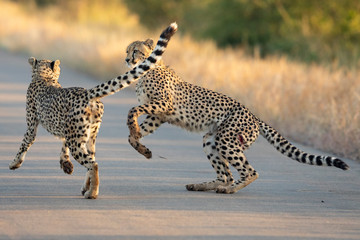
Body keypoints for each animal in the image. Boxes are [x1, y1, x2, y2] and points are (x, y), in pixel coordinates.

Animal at [8, 22, 177, 199]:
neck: (44, 77)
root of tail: (87, 93)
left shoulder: (34, 125)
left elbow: (25, 142)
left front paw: (14, 163)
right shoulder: (68, 131)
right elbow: (63, 145)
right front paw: (66, 164)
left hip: (78, 140)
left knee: (93, 164)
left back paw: (92, 193)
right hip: (89, 136)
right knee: (92, 160)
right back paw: (87, 187)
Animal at [124, 38, 348, 194]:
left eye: (136, 50)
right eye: (127, 50)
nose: (126, 59)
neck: (144, 71)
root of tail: (254, 116)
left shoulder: (164, 104)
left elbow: (132, 111)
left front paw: (134, 130)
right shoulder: (159, 115)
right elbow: (134, 134)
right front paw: (142, 147)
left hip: (226, 139)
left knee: (249, 172)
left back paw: (228, 189)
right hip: (211, 139)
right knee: (226, 175)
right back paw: (203, 185)